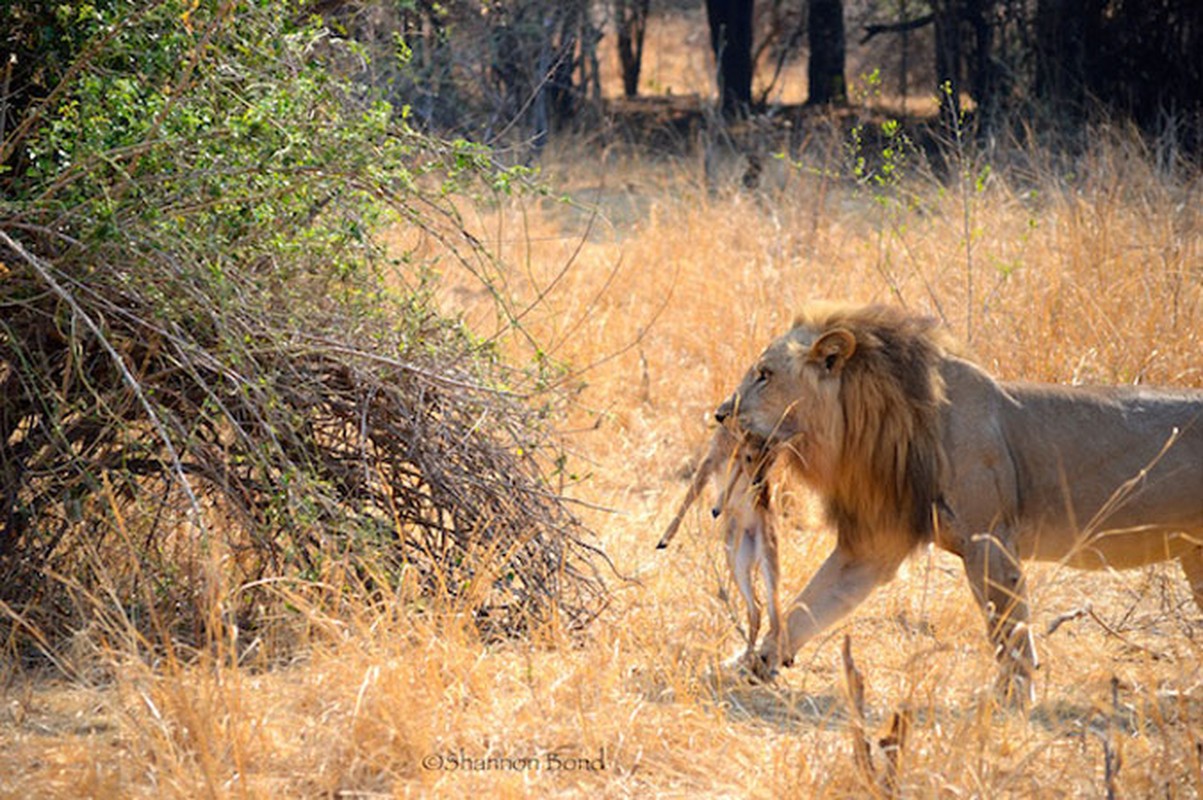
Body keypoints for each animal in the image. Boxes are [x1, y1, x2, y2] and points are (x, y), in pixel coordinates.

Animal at [659, 421, 789, 668]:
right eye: (752, 456)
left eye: (771, 460)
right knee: (761, 609)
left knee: (772, 613)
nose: (759, 484)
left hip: (765, 562)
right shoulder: (712, 459)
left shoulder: (726, 459)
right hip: (739, 562)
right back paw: (751, 658)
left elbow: (722, 481)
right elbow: (691, 494)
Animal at [716, 303, 1198, 702]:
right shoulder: (874, 544)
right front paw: (752, 661)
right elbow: (808, 604)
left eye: (764, 374)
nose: (721, 413)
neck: (868, 420)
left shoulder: (989, 539)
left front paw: (1011, 699)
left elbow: (1009, 629)